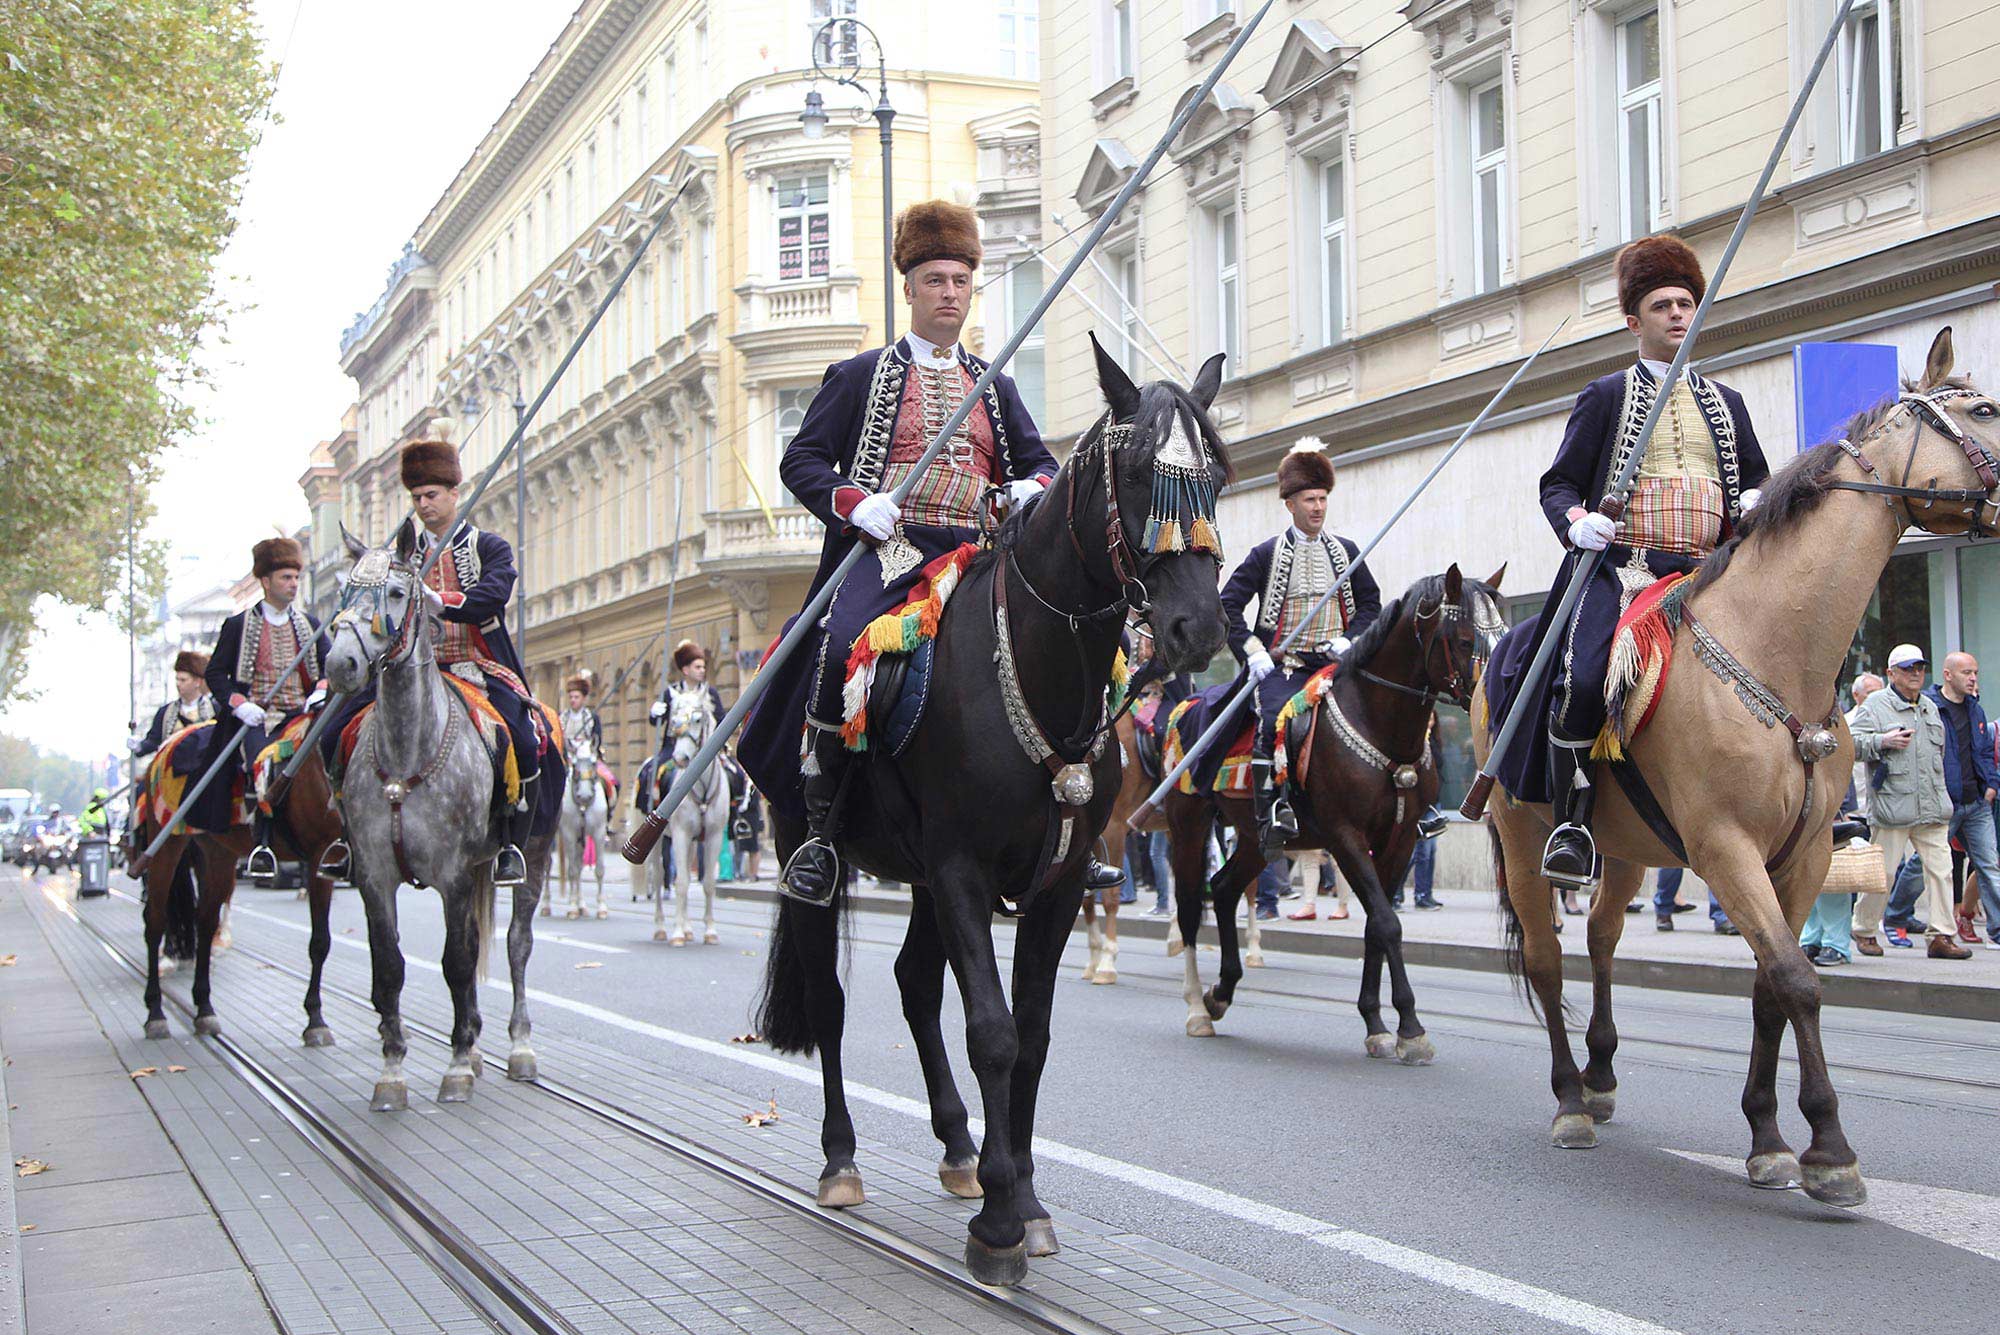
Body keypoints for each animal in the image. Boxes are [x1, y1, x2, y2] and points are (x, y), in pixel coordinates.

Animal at [326, 527, 548, 1111]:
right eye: (344, 594)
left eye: (398, 593)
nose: (339, 664)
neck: (407, 753)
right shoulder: (375, 877)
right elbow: (389, 968)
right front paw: (392, 1072)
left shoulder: (451, 874)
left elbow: (456, 963)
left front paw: (455, 1068)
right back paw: (476, 1045)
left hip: (533, 857)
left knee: (516, 945)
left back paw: (516, 1048)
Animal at [752, 339, 1232, 1287]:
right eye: (1134, 472)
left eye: (1215, 477)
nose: (1197, 628)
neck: (1033, 667)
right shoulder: (963, 870)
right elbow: (993, 1032)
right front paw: (1003, 1221)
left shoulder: (1053, 881)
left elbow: (1033, 1033)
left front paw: (1027, 1199)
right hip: (817, 847)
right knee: (829, 997)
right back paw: (841, 1160)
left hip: (920, 876)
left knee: (911, 982)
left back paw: (959, 1147)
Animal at [1472, 325, 2000, 1207]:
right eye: (1985, 408)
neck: (1776, 649)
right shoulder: (1725, 847)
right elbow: (1794, 977)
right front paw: (1828, 1147)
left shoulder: (1804, 852)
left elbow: (1769, 985)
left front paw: (1768, 1135)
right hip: (1518, 832)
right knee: (1547, 961)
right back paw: (1571, 1099)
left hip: (1626, 844)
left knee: (1606, 935)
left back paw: (1603, 1072)